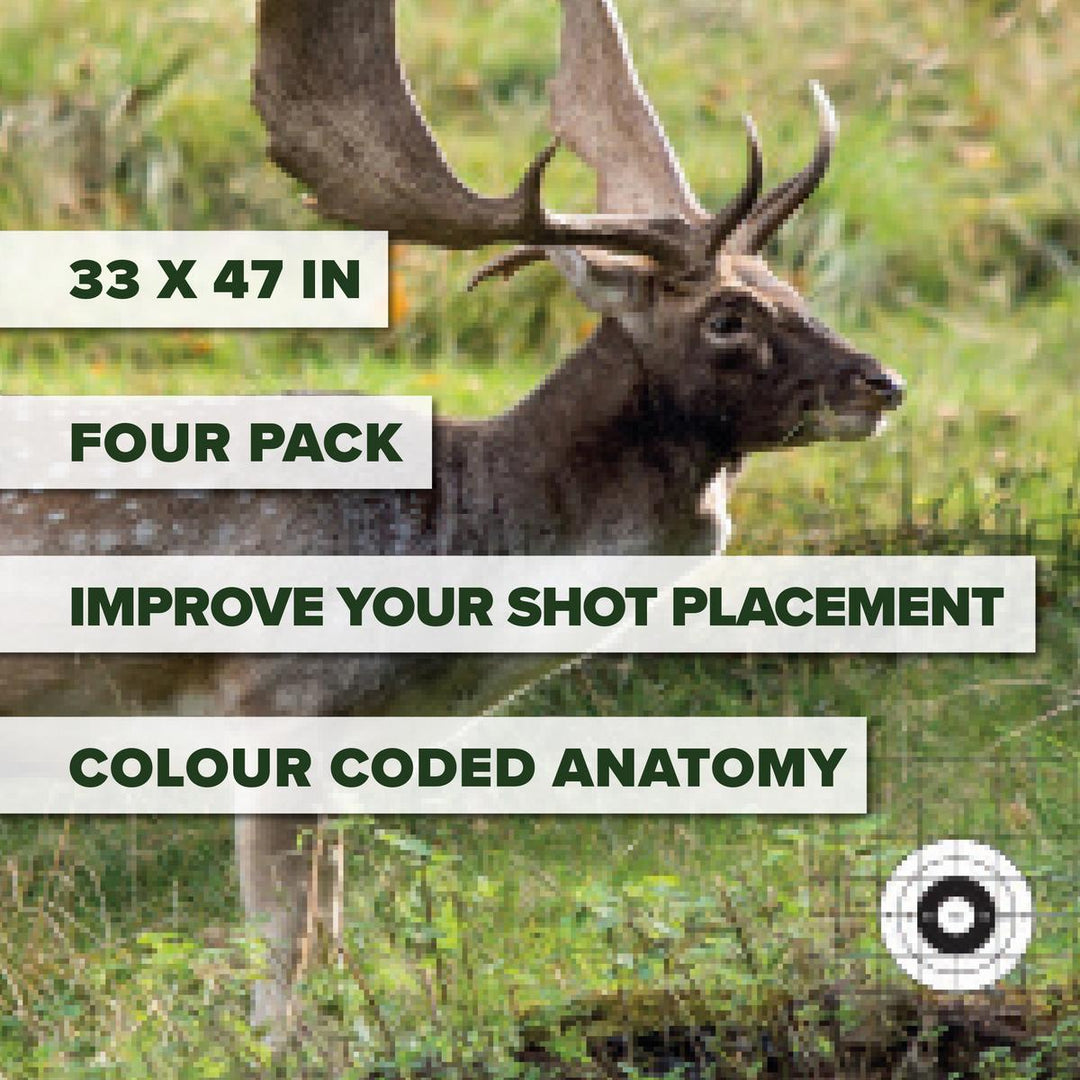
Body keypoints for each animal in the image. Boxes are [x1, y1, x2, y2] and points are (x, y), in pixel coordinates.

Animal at [0, 0, 903, 1043]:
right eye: (728, 317)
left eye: (797, 293)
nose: (882, 383)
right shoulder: (275, 697)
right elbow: (288, 947)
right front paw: (287, 1046)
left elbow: (328, 931)